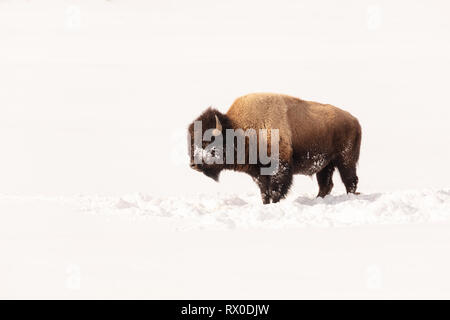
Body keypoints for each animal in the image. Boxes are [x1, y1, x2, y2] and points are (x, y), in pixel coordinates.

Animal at [187, 92, 362, 204]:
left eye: (208, 141)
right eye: (192, 143)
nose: (193, 164)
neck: (240, 129)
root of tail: (354, 120)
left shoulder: (279, 167)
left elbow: (275, 190)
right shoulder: (258, 173)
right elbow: (264, 192)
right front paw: (266, 204)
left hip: (345, 160)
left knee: (350, 181)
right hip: (325, 165)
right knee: (326, 185)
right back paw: (318, 200)